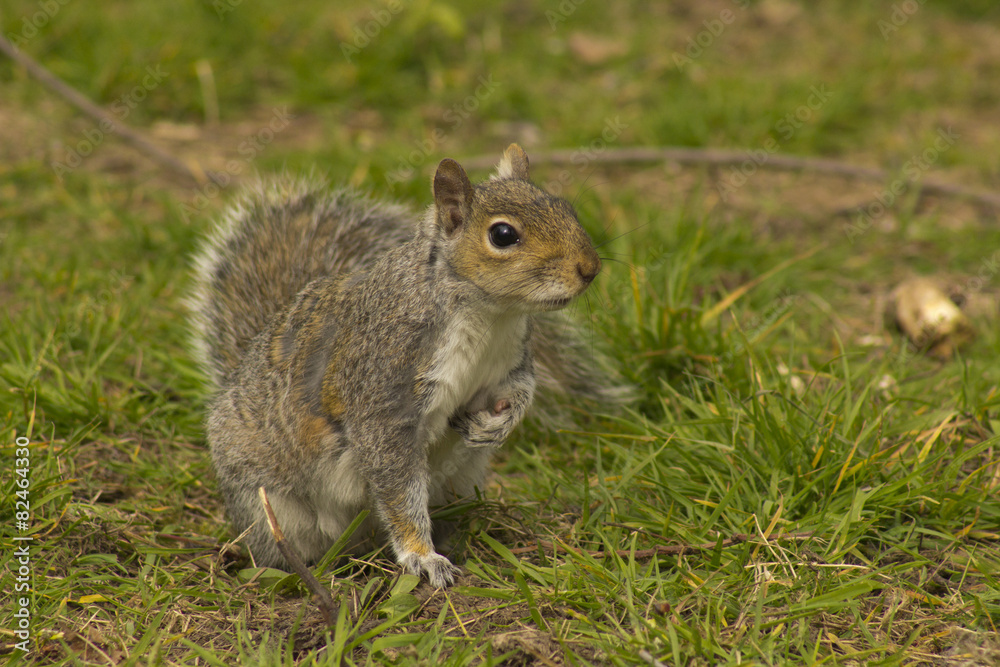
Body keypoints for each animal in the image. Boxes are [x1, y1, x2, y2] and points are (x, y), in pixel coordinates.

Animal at [188, 144, 621, 587]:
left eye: (564, 206)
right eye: (503, 235)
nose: (590, 268)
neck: (489, 316)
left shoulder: (510, 363)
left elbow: (521, 391)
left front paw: (497, 423)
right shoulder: (384, 385)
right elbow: (397, 486)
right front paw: (421, 555)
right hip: (269, 503)